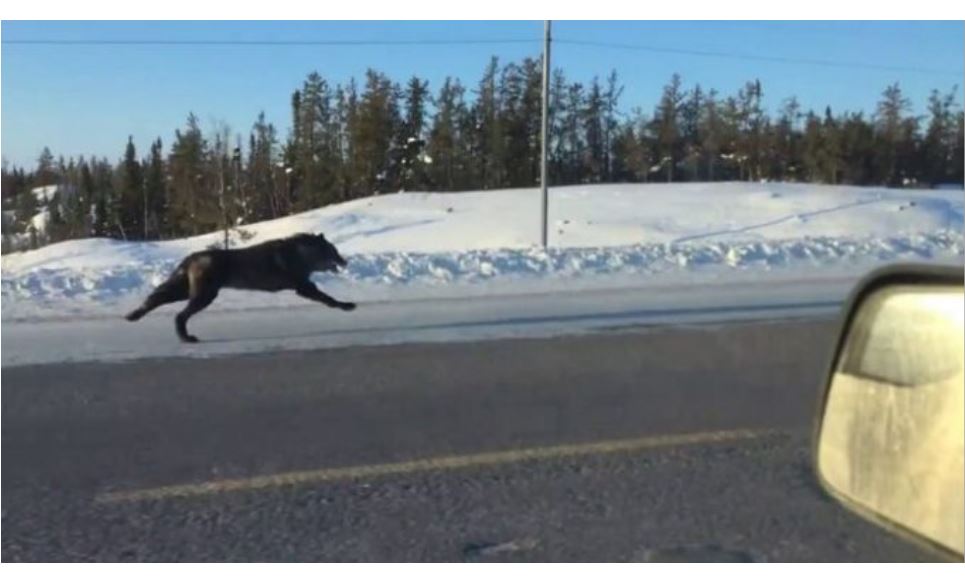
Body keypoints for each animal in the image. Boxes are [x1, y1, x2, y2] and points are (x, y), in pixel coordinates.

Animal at [126, 233, 356, 342]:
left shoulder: (304, 286)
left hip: (185, 291)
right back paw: (187, 339)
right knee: (179, 315)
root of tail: (191, 257)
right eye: (333, 250)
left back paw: (133, 316)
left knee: (156, 298)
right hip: (204, 295)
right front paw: (348, 306)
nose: (345, 262)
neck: (302, 255)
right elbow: (328, 299)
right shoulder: (303, 286)